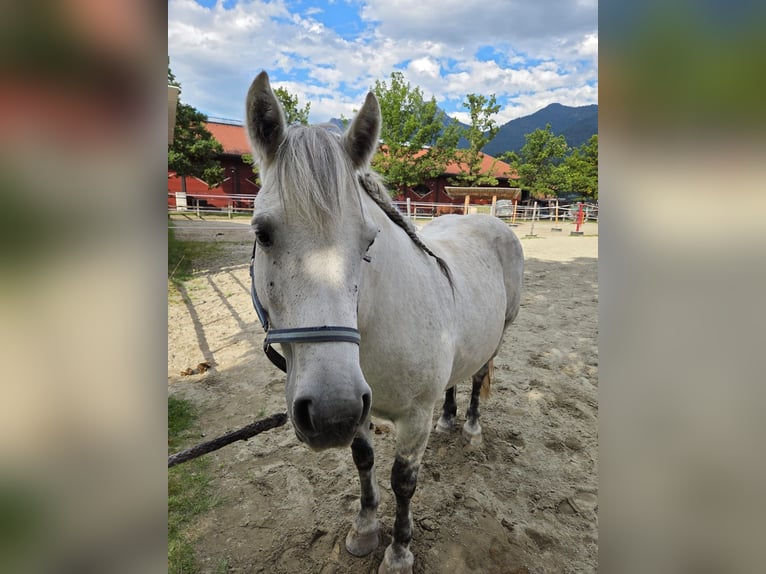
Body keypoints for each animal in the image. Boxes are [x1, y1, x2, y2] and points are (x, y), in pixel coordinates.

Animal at [245, 71, 524, 574]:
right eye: (263, 233)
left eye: (369, 239)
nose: (330, 411)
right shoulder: (361, 410)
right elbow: (364, 460)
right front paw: (365, 530)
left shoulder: (412, 421)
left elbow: (403, 482)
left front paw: (398, 551)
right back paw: (449, 419)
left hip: (500, 336)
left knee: (478, 378)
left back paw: (471, 428)